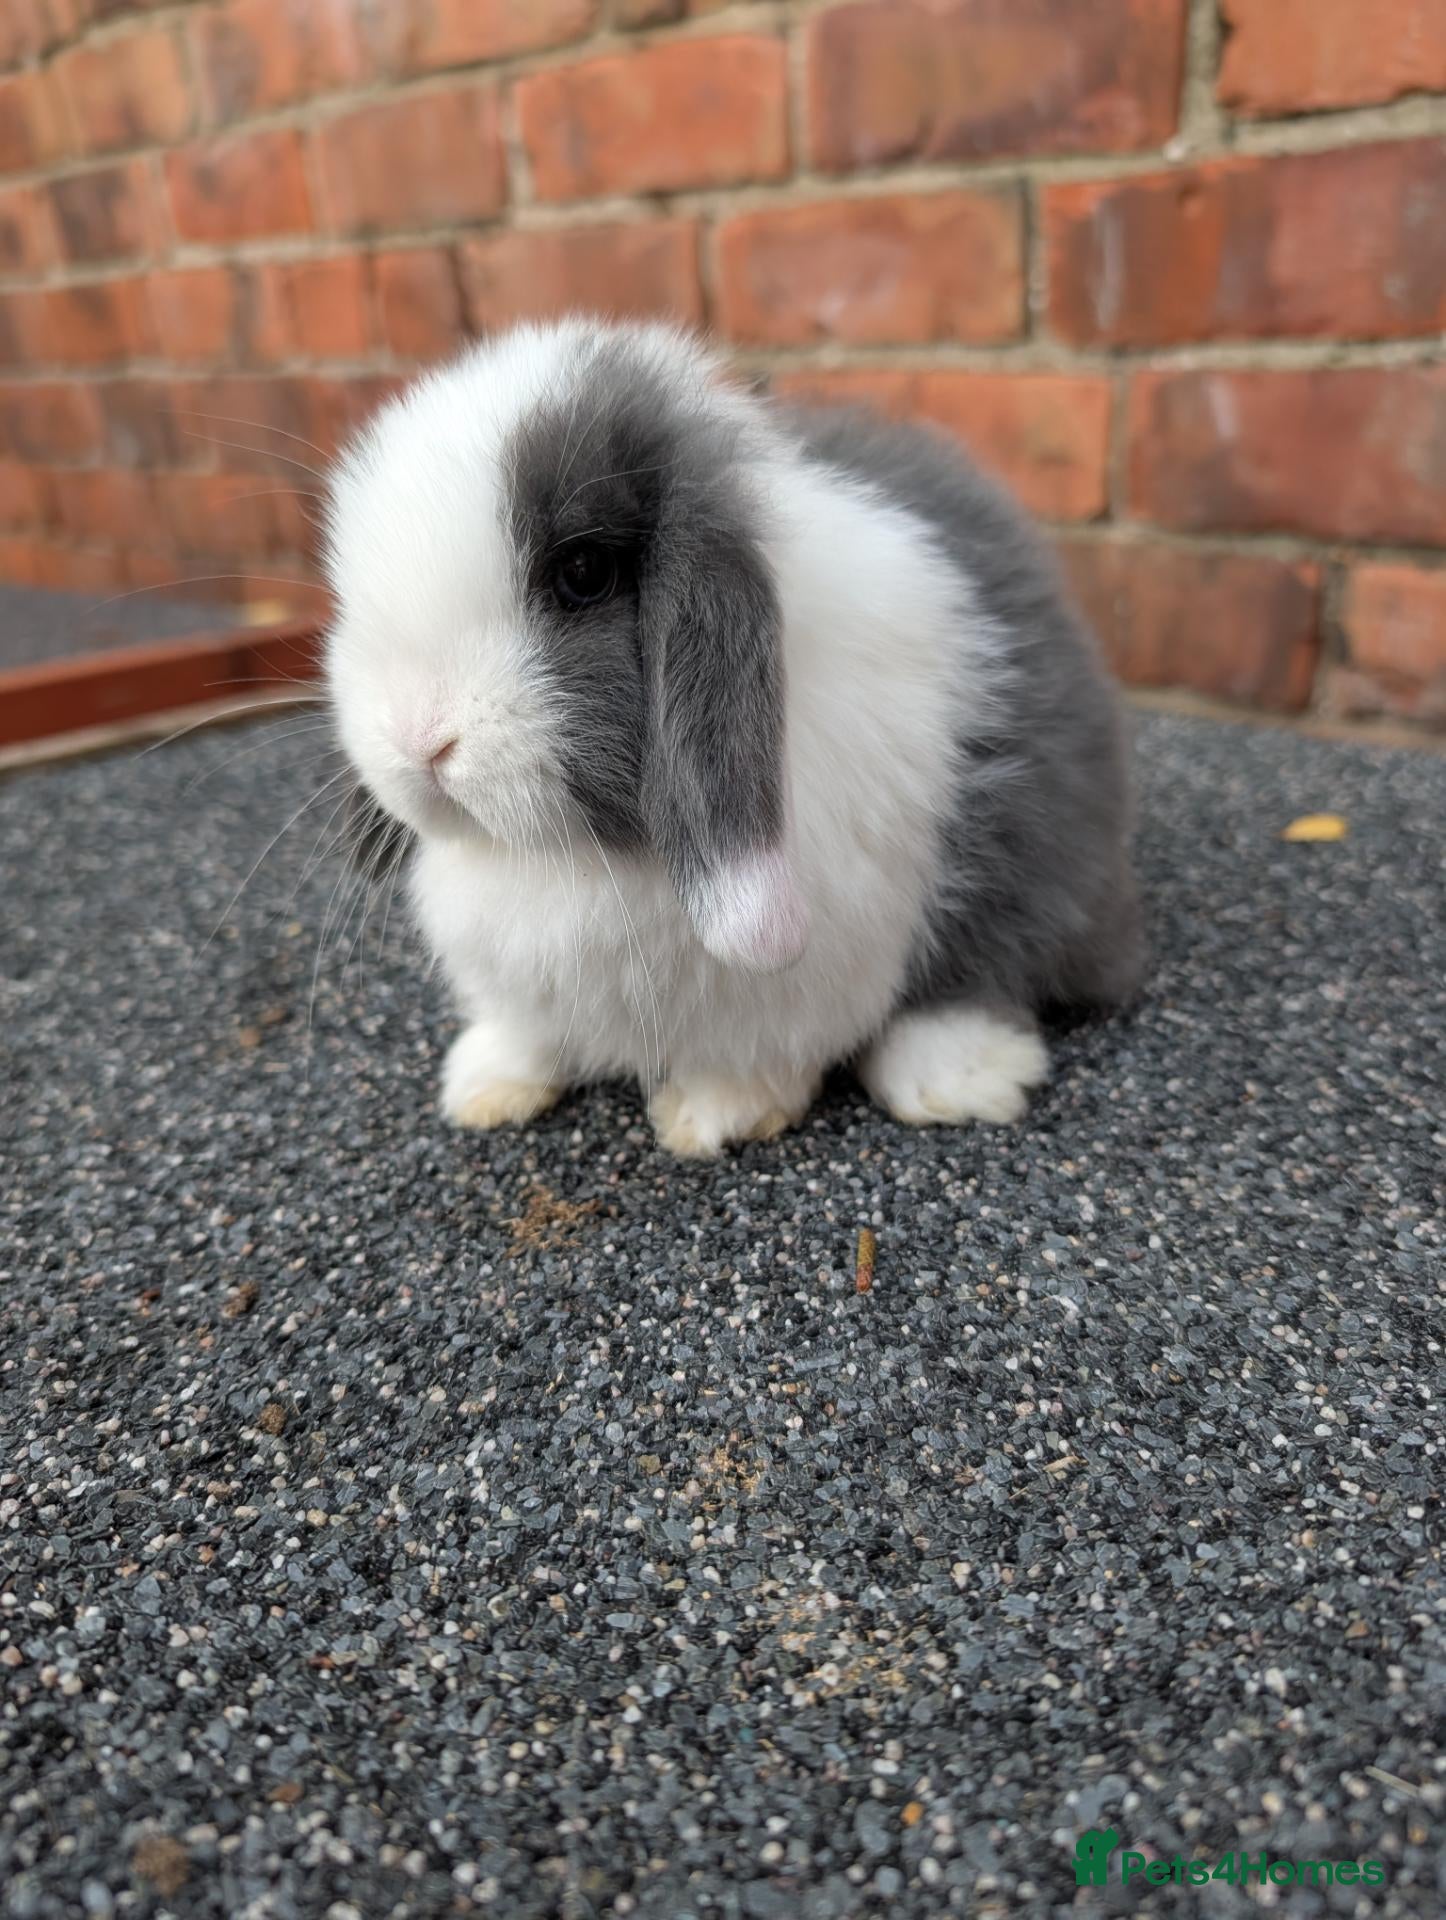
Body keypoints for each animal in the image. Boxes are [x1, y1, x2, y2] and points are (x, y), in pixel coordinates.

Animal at [323, 319, 1142, 1158]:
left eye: (582, 572)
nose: (418, 738)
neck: (568, 857)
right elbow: (528, 1035)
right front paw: (484, 1086)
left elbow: (762, 1051)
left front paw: (711, 1115)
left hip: (1032, 850)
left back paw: (953, 1080)